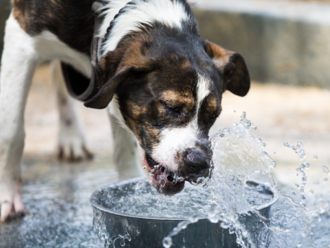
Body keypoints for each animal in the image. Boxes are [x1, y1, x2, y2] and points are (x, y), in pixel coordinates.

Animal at [0, 0, 249, 221]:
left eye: (213, 115)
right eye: (171, 107)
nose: (199, 163)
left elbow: (125, 148)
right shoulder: (20, 38)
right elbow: (10, 133)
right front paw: (7, 197)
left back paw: (71, 136)